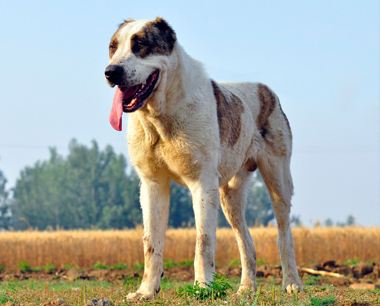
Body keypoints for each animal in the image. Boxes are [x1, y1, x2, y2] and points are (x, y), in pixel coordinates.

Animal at [104, 16, 302, 298]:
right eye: (112, 47)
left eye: (139, 44)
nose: (111, 72)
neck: (161, 116)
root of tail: (266, 89)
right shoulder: (152, 185)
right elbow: (151, 243)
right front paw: (146, 291)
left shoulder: (202, 184)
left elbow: (203, 240)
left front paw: (203, 287)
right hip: (230, 196)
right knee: (246, 241)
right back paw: (246, 288)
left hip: (278, 181)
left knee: (285, 234)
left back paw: (292, 282)